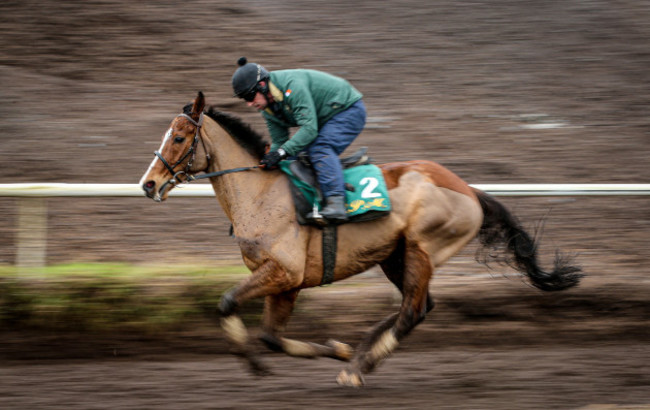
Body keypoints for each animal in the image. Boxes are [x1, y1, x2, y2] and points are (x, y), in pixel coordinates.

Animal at [138, 91, 584, 386]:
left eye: (178, 138)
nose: (148, 184)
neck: (261, 193)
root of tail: (470, 191)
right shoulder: (285, 283)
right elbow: (270, 336)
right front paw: (338, 348)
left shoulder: (283, 273)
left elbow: (229, 303)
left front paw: (259, 363)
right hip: (394, 255)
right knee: (420, 305)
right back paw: (363, 349)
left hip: (423, 248)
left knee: (412, 310)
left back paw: (359, 369)